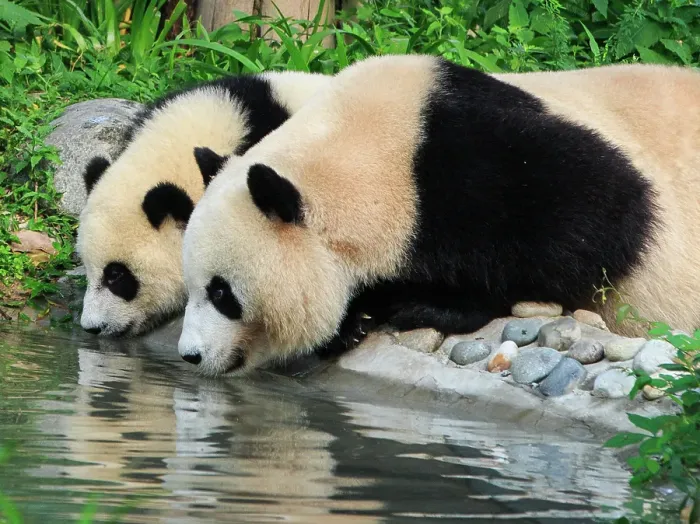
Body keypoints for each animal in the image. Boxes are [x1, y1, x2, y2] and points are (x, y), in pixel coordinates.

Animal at [177, 54, 700, 377]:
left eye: (221, 293)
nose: (189, 355)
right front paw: (355, 319)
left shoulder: (482, 159)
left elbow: (603, 222)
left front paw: (424, 304)